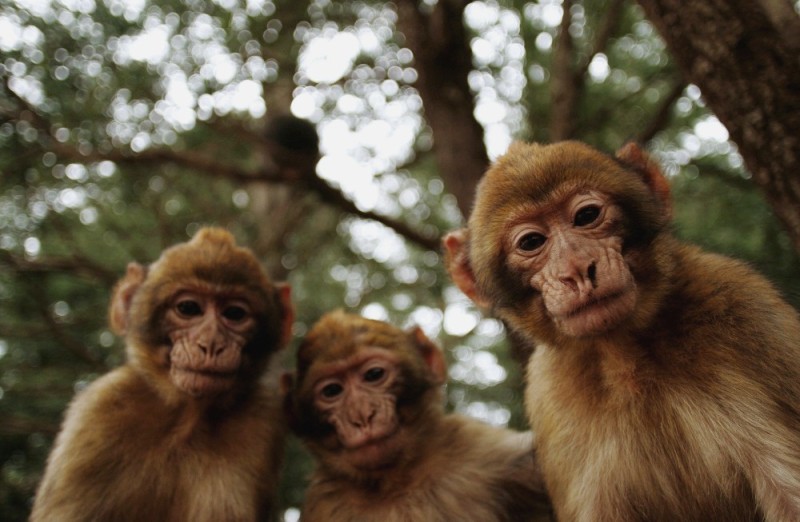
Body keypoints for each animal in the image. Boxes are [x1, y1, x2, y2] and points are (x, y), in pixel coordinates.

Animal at [31, 226, 296, 520]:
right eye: (188, 308)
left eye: (235, 313)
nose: (211, 344)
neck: (188, 419)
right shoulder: (96, 418)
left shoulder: (261, 421)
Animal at [282, 308, 556, 520]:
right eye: (331, 391)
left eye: (373, 375)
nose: (361, 416)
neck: (396, 482)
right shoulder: (324, 501)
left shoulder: (488, 453)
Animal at [444, 141, 800, 520]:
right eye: (531, 242)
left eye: (586, 216)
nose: (577, 269)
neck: (626, 355)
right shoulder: (549, 393)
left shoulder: (746, 311)